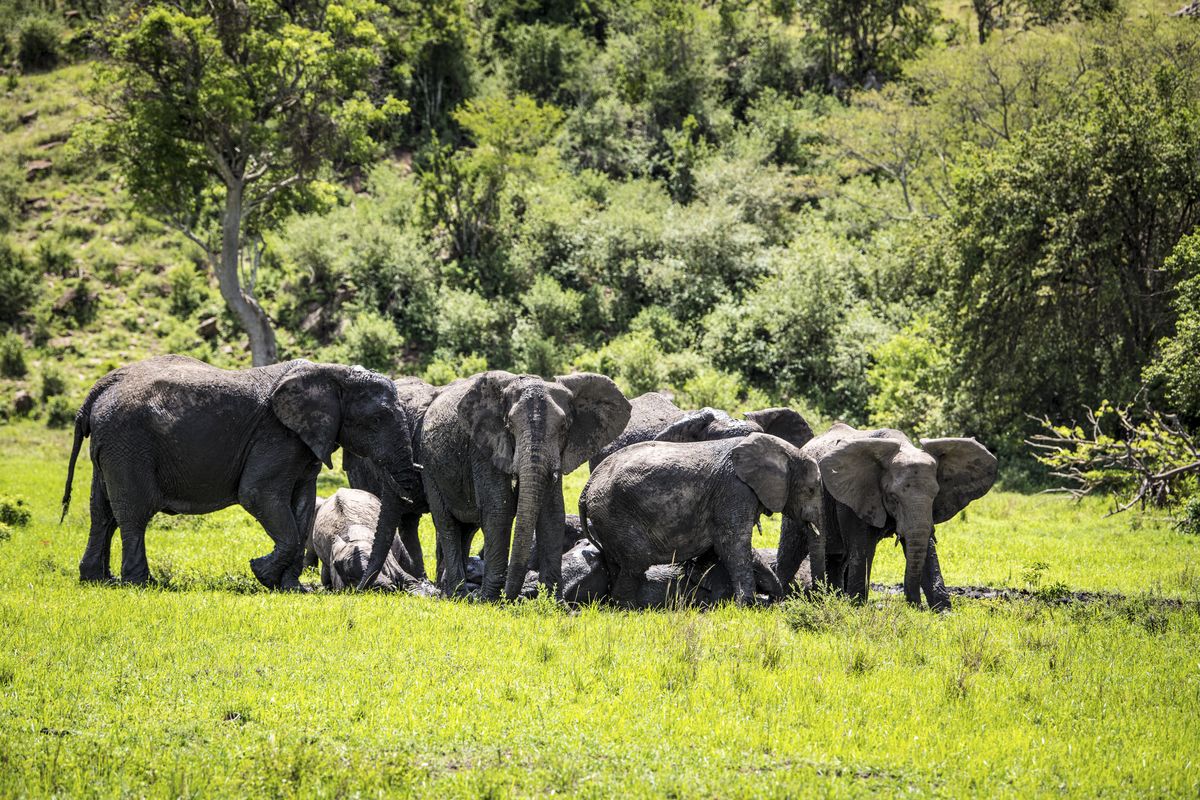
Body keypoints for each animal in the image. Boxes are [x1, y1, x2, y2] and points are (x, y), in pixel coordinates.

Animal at [61, 355, 421, 589]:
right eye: (377, 419)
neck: (331, 373)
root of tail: (99, 388)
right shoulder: (277, 435)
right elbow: (258, 494)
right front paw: (262, 573)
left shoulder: (303, 442)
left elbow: (303, 505)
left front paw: (292, 588)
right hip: (129, 444)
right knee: (133, 513)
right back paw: (142, 583)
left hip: (111, 446)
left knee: (102, 512)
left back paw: (98, 580)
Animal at [362, 370, 631, 601]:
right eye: (509, 426)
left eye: (564, 428)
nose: (512, 597)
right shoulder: (483, 446)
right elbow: (497, 509)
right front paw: (490, 600)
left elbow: (552, 514)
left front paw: (555, 604)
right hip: (430, 466)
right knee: (446, 522)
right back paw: (459, 595)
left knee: (465, 528)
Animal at [580, 432, 823, 606]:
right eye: (811, 489)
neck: (782, 450)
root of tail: (587, 487)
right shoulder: (735, 490)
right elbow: (733, 546)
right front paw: (748, 605)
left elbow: (727, 548)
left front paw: (775, 596)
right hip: (616, 513)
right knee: (637, 561)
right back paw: (628, 608)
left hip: (608, 519)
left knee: (619, 563)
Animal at [779, 423, 997, 610]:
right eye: (893, 497)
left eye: (935, 495)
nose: (915, 606)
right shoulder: (853, 497)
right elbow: (863, 548)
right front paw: (857, 607)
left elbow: (925, 547)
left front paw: (943, 612)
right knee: (791, 552)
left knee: (836, 560)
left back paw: (833, 600)